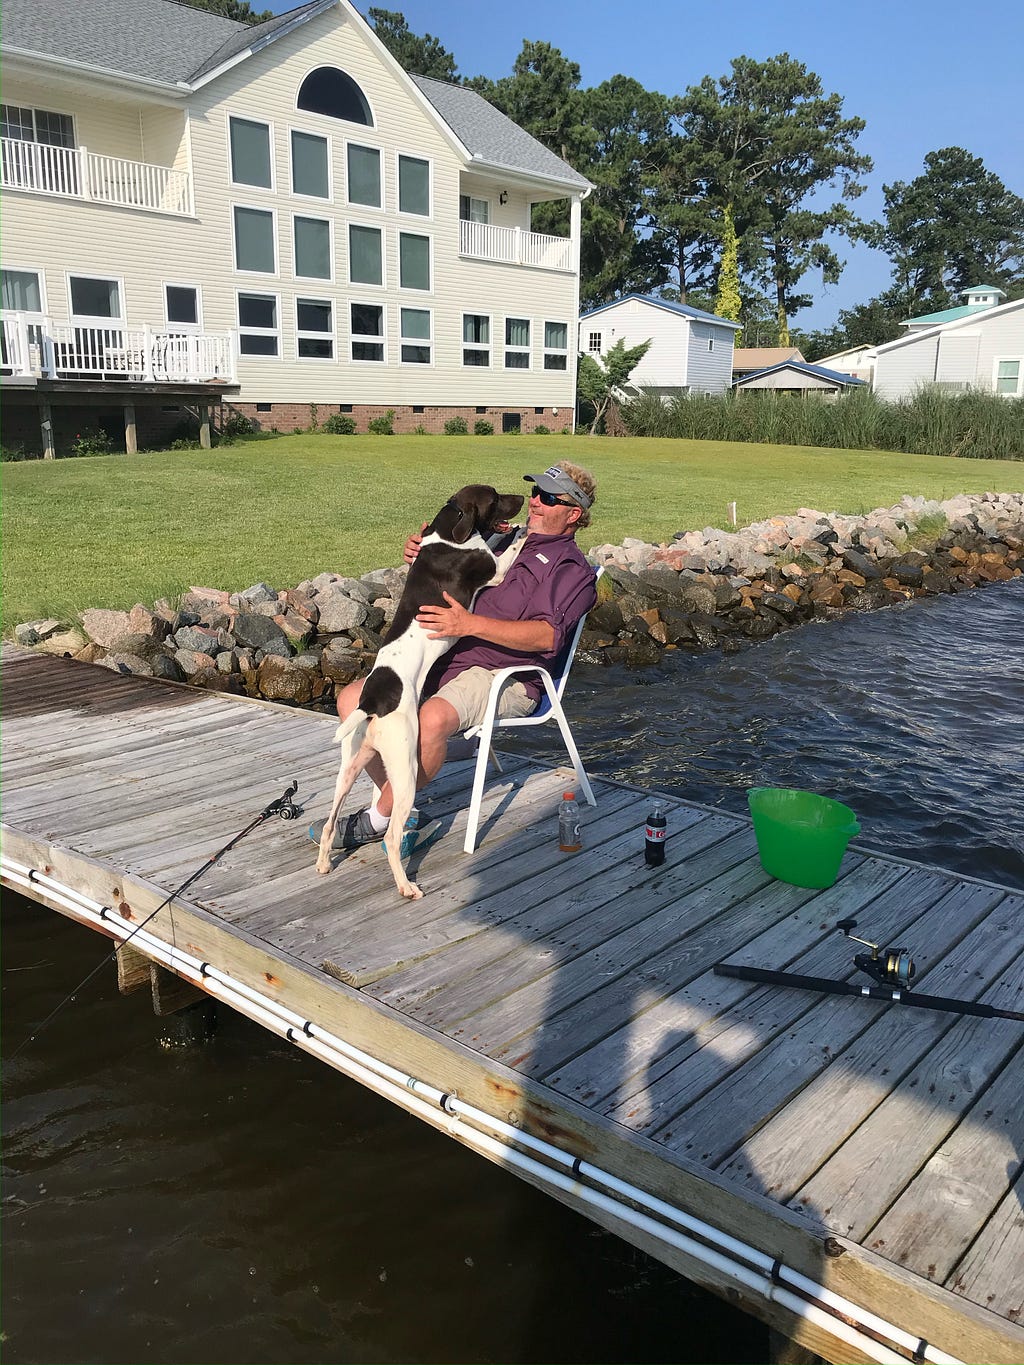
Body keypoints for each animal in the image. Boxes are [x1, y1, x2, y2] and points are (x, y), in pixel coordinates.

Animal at [315, 485, 524, 900]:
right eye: (495, 497)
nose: (525, 498)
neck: (448, 531)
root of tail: (372, 701)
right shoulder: (494, 569)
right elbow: (511, 548)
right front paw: (525, 530)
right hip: (406, 765)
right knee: (392, 836)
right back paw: (406, 886)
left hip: (352, 765)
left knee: (330, 822)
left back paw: (324, 864)